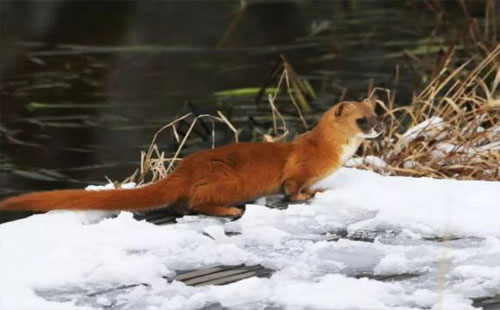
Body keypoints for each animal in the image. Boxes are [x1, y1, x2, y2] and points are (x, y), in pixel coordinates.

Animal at [0, 100, 382, 217]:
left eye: (377, 113)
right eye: (362, 120)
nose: (378, 128)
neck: (331, 151)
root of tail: (183, 170)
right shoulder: (299, 169)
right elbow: (292, 188)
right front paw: (313, 193)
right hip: (225, 179)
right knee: (197, 202)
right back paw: (229, 210)